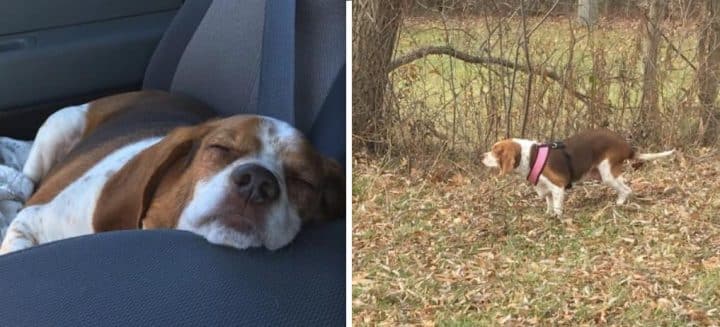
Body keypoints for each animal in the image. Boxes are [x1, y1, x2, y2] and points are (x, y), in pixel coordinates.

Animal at [0, 91, 344, 255]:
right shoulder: (30, 221)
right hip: (59, 125)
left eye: (303, 181)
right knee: (28, 176)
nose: (257, 183)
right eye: (220, 148)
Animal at [484, 130, 676, 218]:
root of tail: (626, 146)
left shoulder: (558, 187)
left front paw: (557, 219)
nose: (482, 156)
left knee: (626, 189)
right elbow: (549, 204)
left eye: (495, 151)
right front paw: (548, 215)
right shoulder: (546, 189)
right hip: (601, 173)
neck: (531, 156)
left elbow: (557, 207)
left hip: (607, 174)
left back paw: (620, 203)